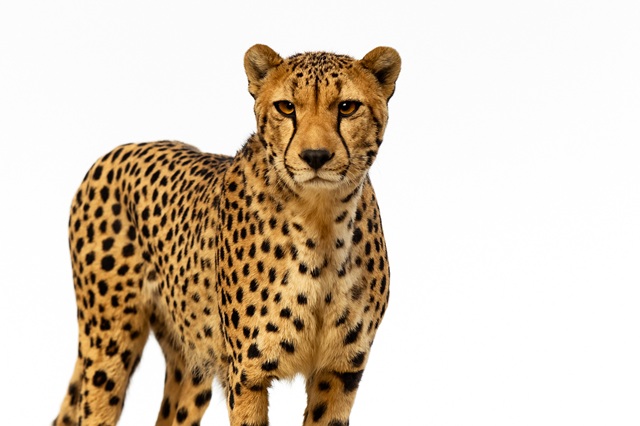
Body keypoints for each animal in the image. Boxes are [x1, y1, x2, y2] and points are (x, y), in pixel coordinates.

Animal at [53, 43, 400, 426]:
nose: (315, 156)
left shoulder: (340, 372)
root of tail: (119, 150)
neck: (321, 224)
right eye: (286, 107)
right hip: (108, 341)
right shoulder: (248, 374)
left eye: (347, 107)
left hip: (192, 359)